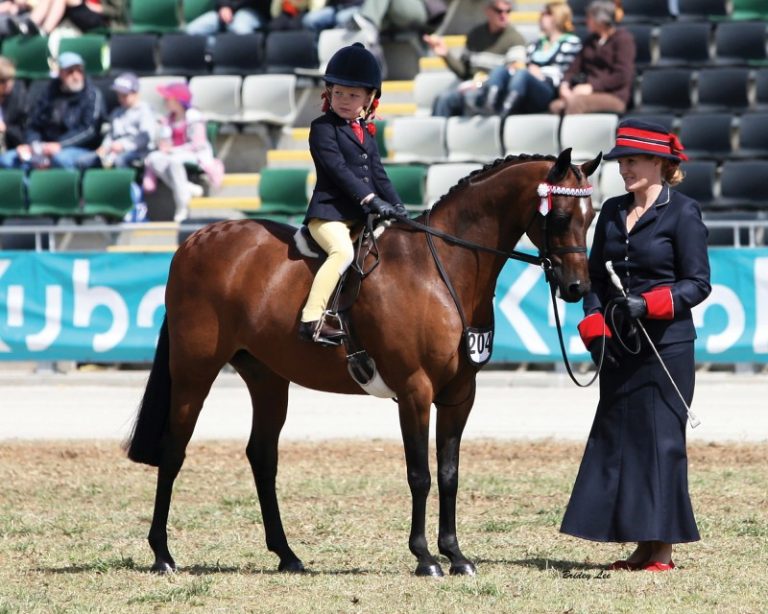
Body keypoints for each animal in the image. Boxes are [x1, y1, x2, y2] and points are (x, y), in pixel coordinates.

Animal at [126, 148, 601, 577]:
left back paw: (287, 555)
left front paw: (456, 555)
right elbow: (419, 474)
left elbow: (449, 473)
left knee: (262, 455)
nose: (577, 287)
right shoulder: (414, 389)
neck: (441, 269)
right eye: (560, 216)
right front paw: (425, 558)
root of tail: (195, 240)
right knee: (174, 450)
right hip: (194, 371)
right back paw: (163, 555)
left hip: (267, 378)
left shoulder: (459, 394)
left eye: (591, 214)